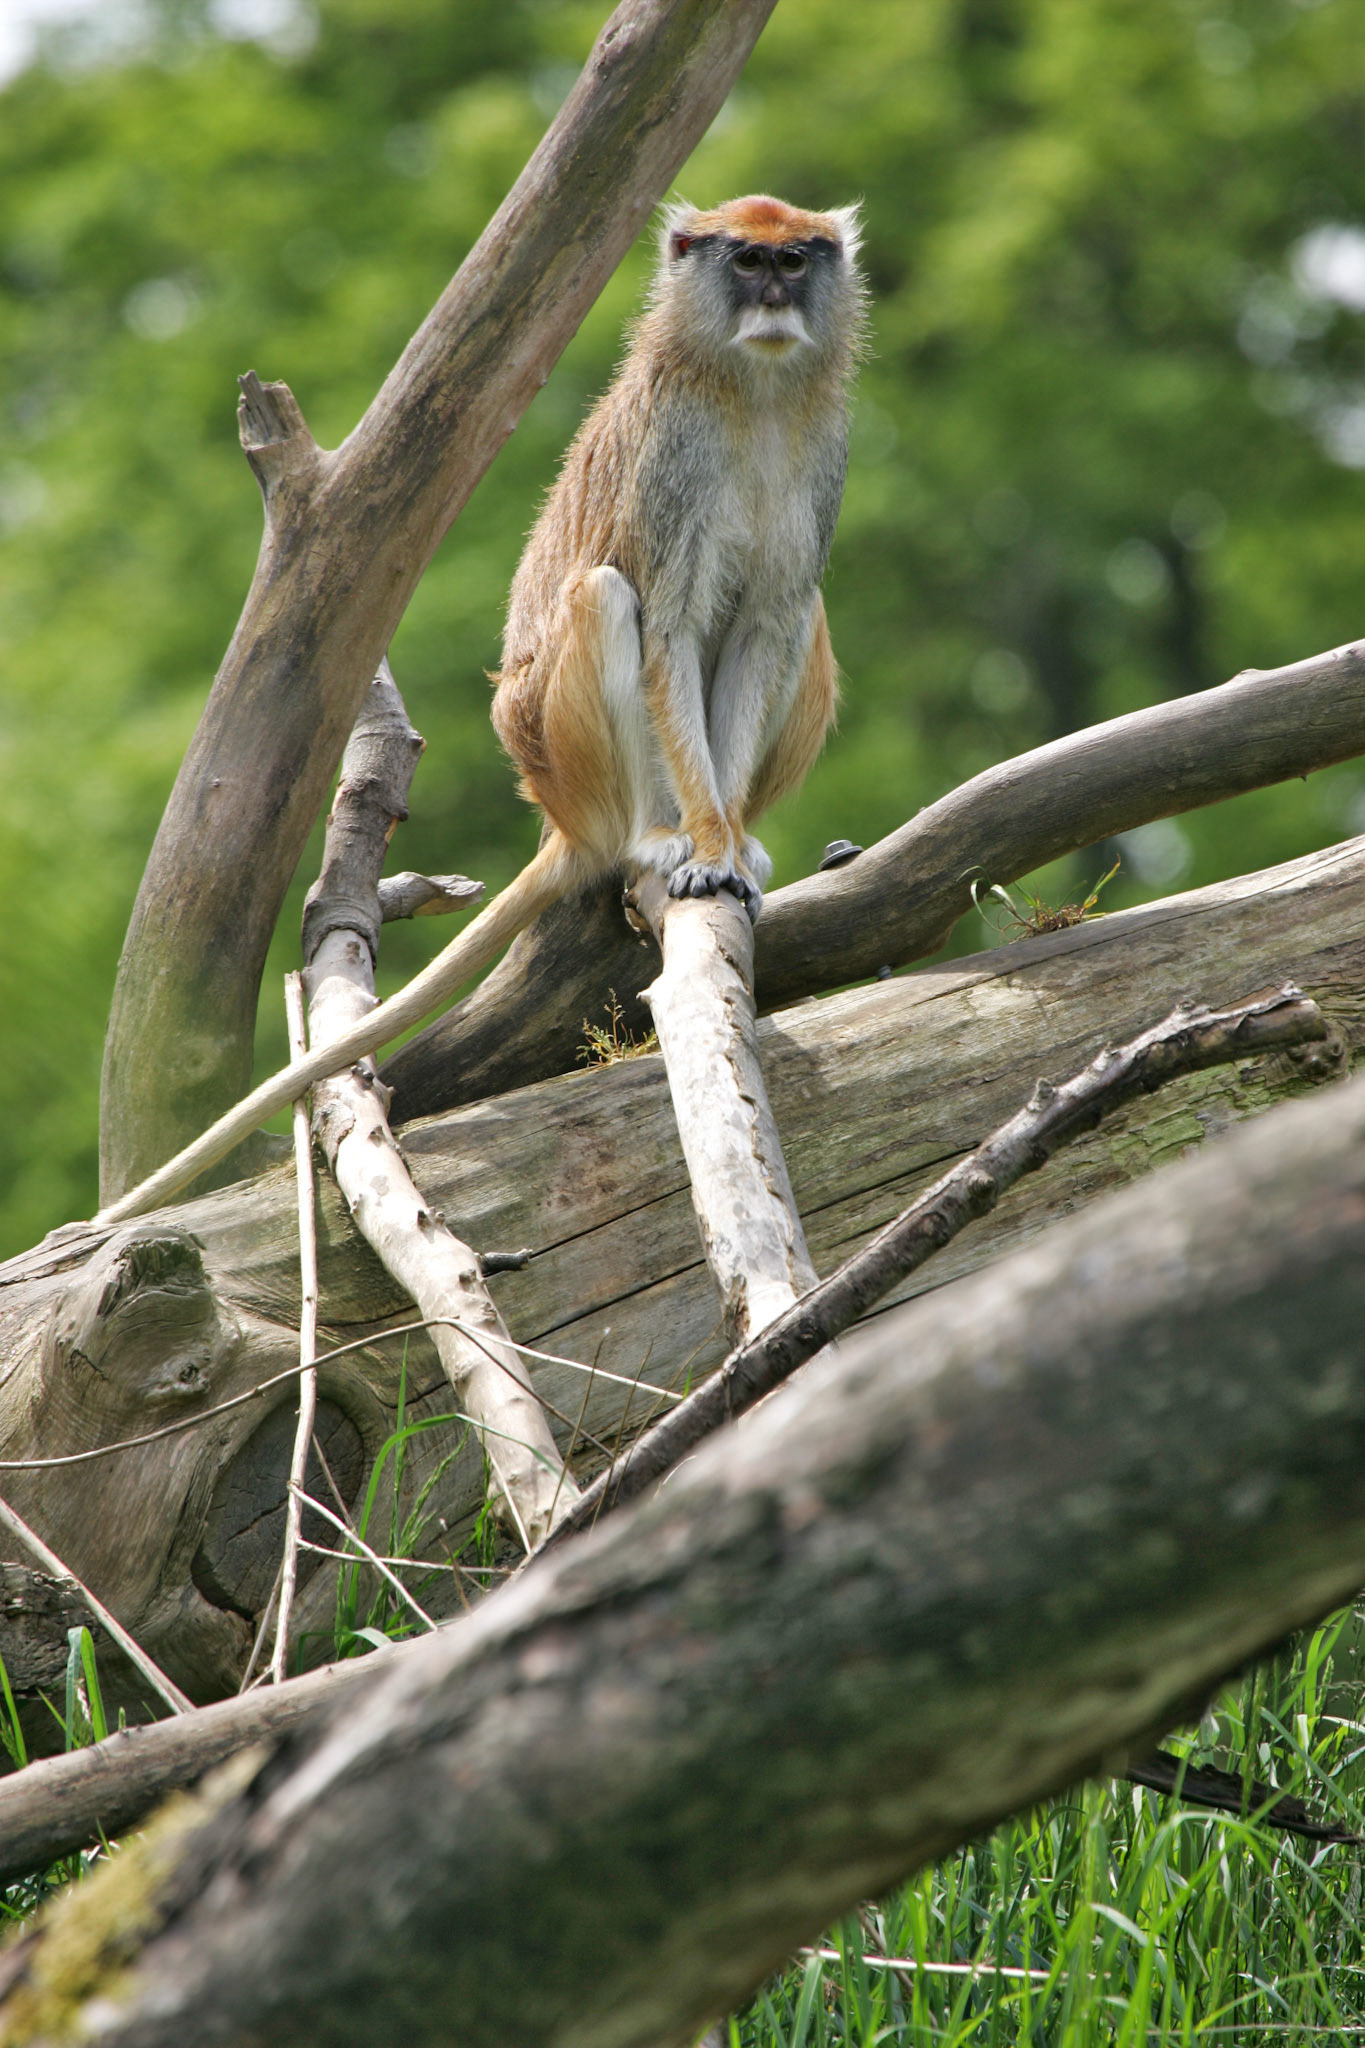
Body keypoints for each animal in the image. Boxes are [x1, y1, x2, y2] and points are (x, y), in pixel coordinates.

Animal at [97, 195, 865, 1225]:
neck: (754, 391)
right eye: (746, 262)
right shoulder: (672, 459)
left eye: (795, 260)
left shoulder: (821, 455)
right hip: (565, 751)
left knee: (802, 620)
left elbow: (768, 625)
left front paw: (732, 842)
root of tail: (564, 823)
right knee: (603, 596)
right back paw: (650, 840)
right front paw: (705, 846)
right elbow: (665, 624)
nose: (775, 296)